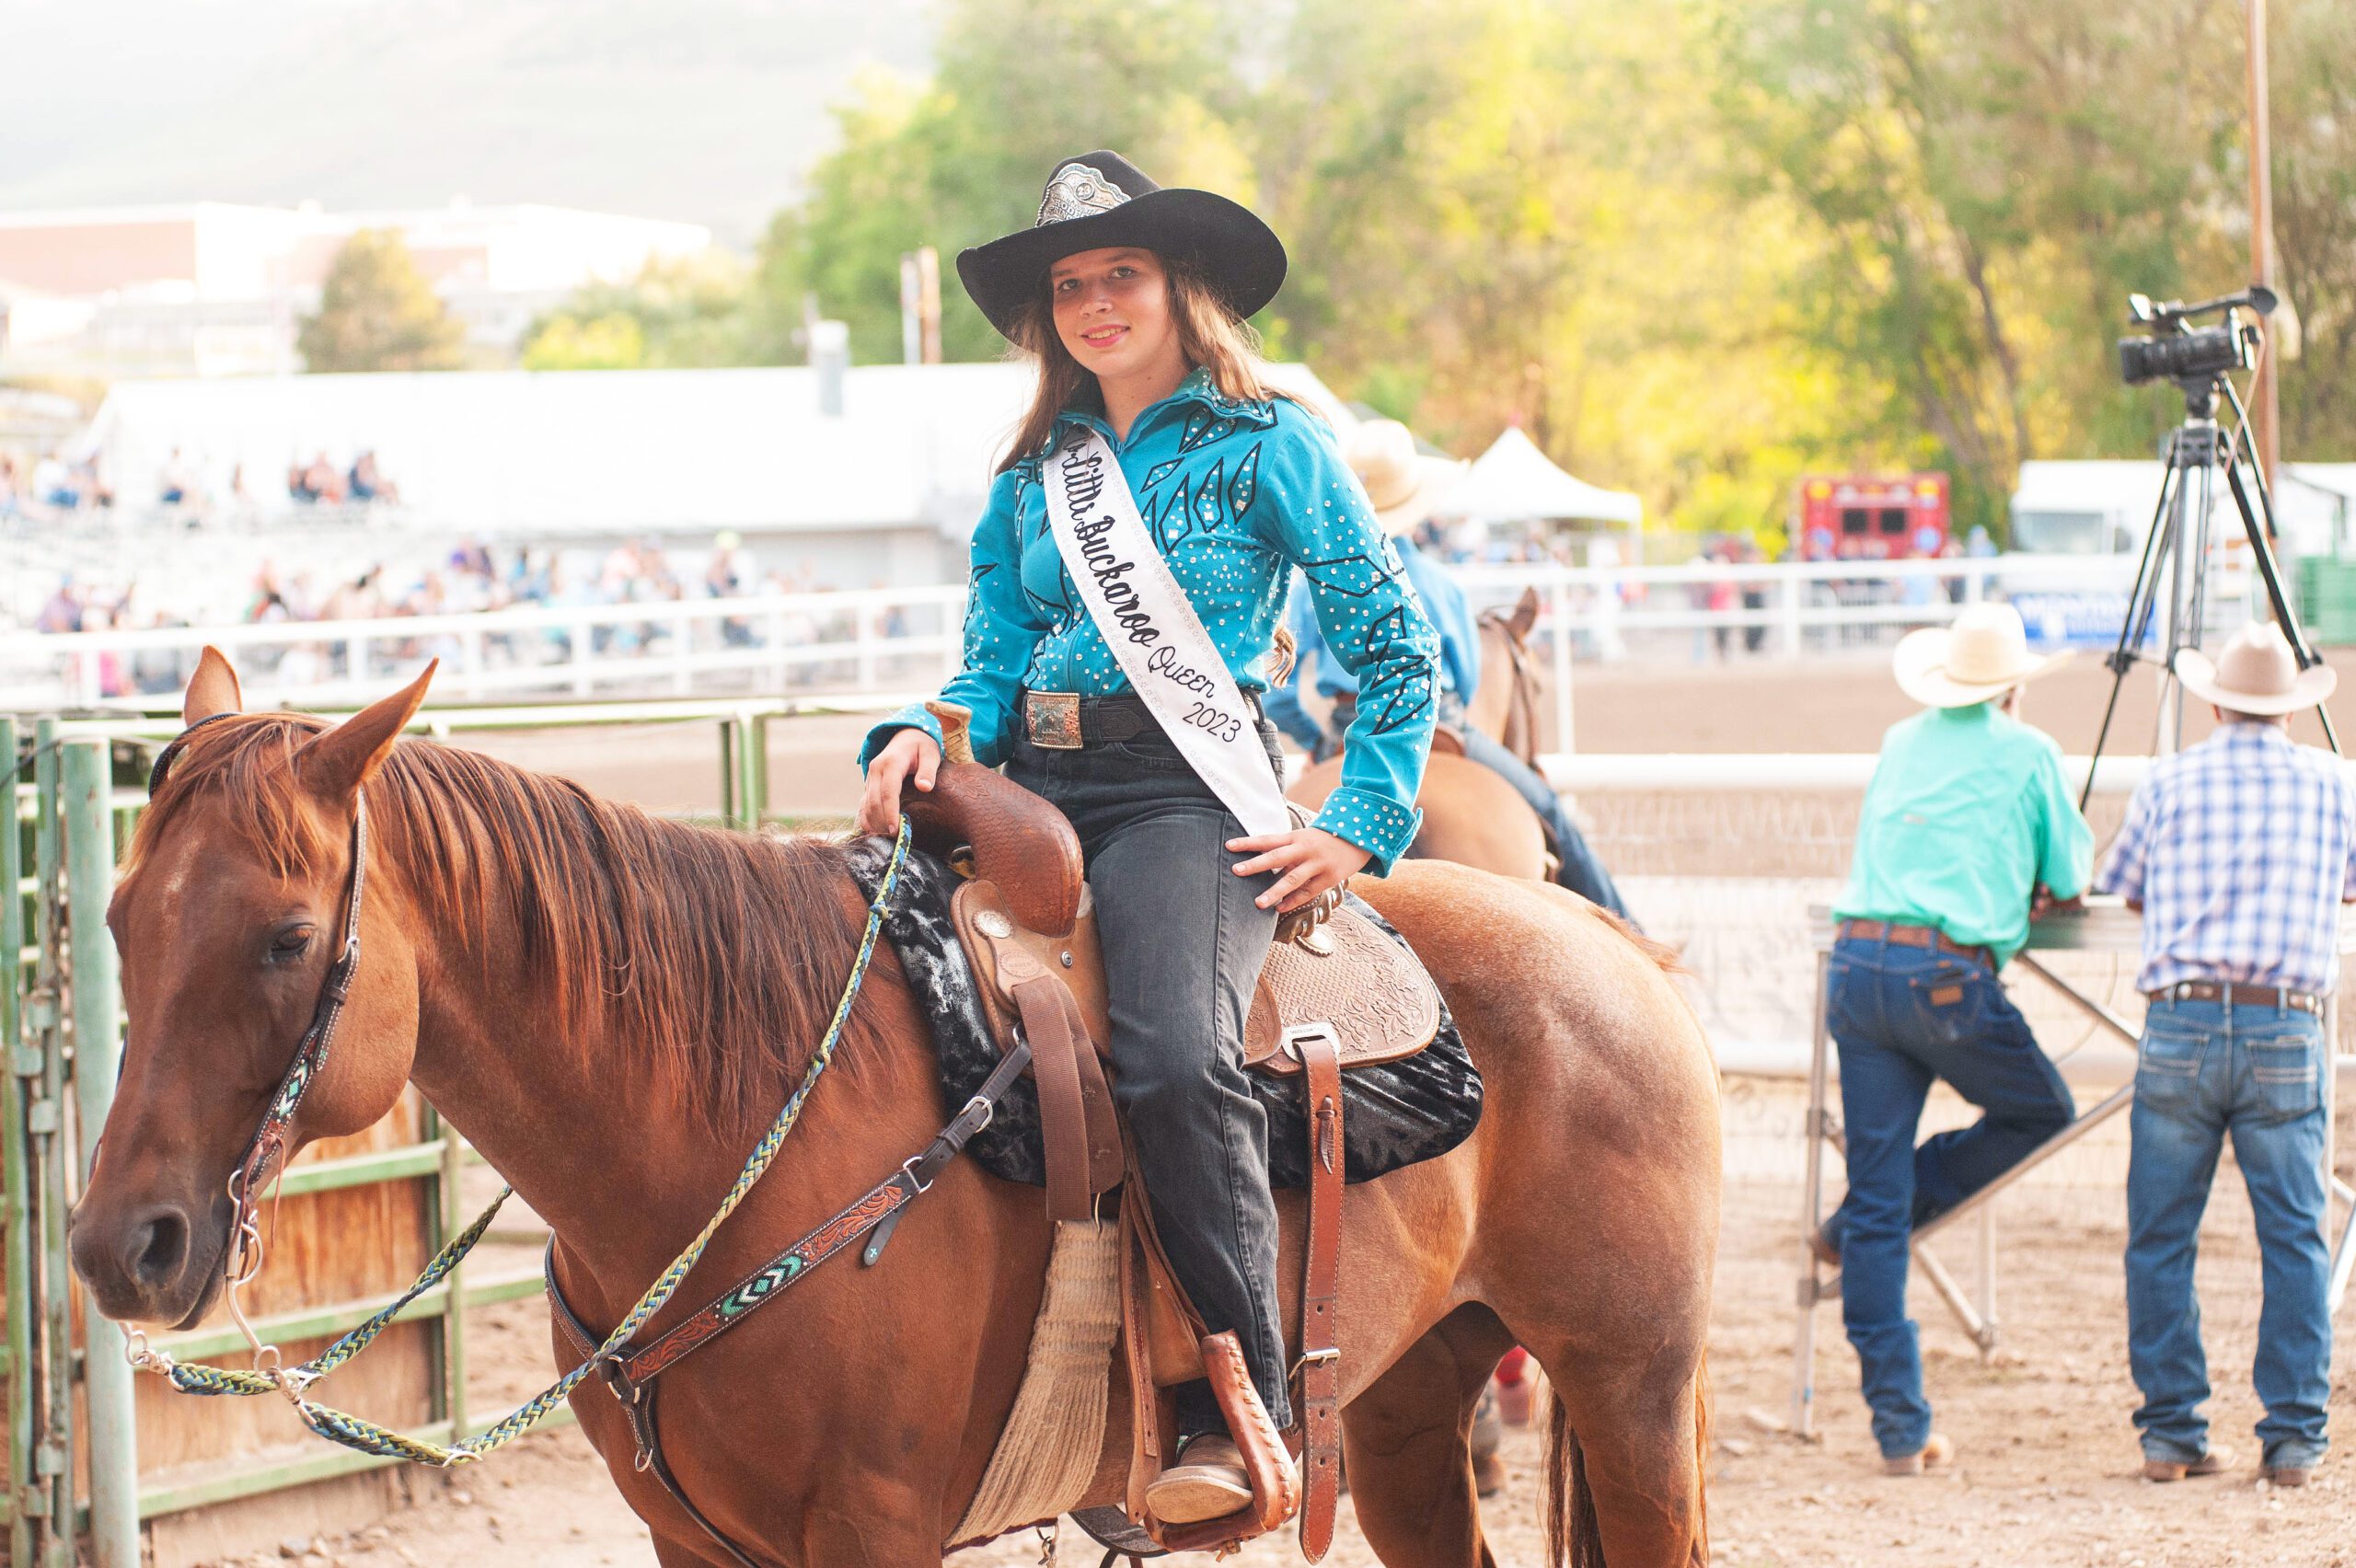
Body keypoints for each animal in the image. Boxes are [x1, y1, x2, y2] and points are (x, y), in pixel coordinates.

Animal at [68, 645, 1715, 1562]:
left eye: (288, 938)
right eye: (119, 918)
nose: (119, 1248)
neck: (722, 1136)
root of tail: (1614, 948)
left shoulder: (870, 1529)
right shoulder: (692, 1543)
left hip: (1631, 1390)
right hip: (1406, 1404)